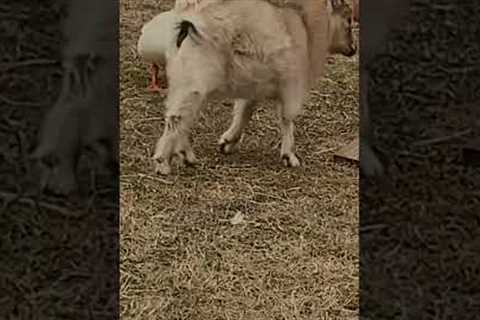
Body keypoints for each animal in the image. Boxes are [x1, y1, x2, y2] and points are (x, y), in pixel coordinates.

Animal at [153, 0, 356, 174]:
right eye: (348, 20)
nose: (353, 49)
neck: (305, 28)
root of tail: (189, 26)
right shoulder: (292, 86)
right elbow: (287, 119)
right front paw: (289, 156)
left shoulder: (254, 90)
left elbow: (244, 112)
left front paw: (227, 142)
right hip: (194, 84)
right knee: (177, 119)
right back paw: (163, 163)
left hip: (187, 85)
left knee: (183, 118)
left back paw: (186, 156)